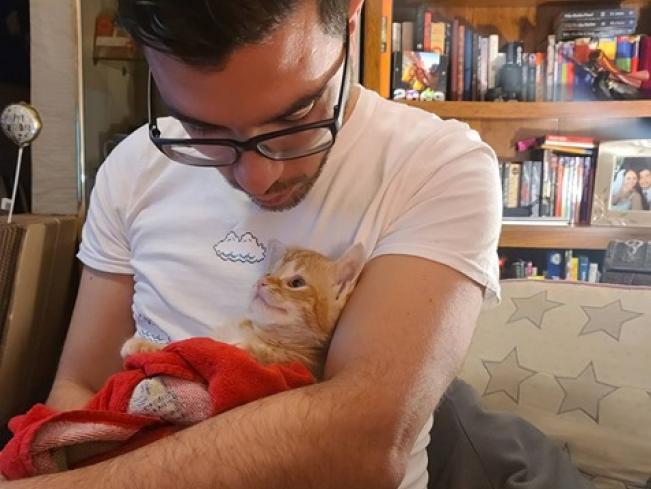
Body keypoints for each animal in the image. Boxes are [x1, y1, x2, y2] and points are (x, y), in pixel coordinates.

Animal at [121, 241, 366, 378]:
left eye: (296, 283)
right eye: (269, 274)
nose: (261, 282)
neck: (258, 332)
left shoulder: (307, 369)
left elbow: (269, 358)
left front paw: (244, 349)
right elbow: (184, 343)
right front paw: (146, 345)